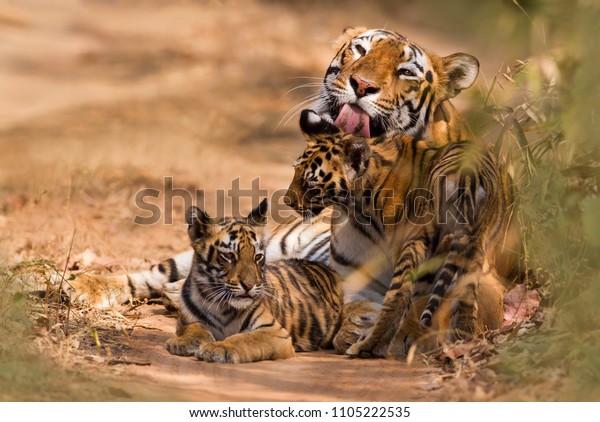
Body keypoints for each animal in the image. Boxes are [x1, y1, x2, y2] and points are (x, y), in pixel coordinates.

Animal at [286, 111, 516, 356]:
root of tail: (468, 176)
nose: (287, 201)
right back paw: (461, 340)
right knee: (464, 297)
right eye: (295, 172)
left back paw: (370, 347)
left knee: (402, 296)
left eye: (310, 183)